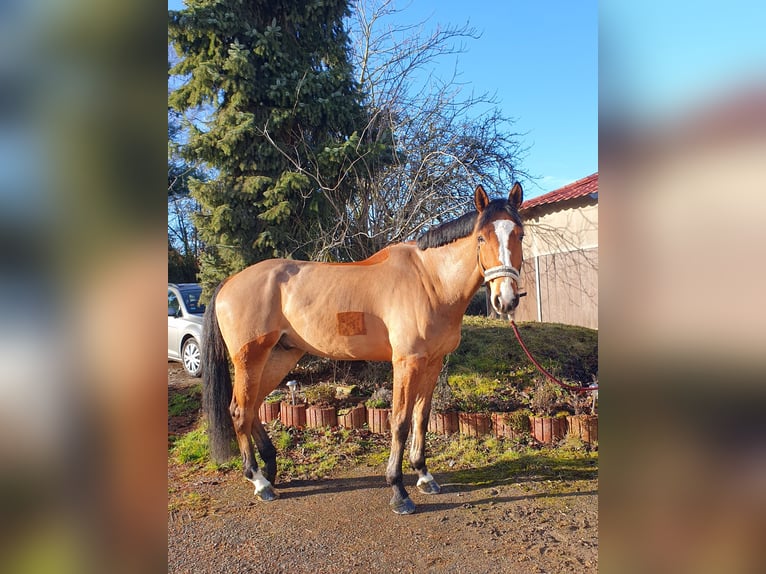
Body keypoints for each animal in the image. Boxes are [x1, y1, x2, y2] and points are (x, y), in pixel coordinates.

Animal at [201, 183, 524, 514]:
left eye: (520, 235)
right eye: (481, 237)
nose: (506, 300)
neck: (430, 282)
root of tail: (229, 282)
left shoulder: (433, 362)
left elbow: (421, 417)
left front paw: (424, 476)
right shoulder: (406, 362)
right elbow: (400, 422)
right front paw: (399, 491)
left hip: (280, 356)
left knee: (252, 408)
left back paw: (270, 470)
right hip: (250, 359)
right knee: (240, 411)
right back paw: (259, 481)